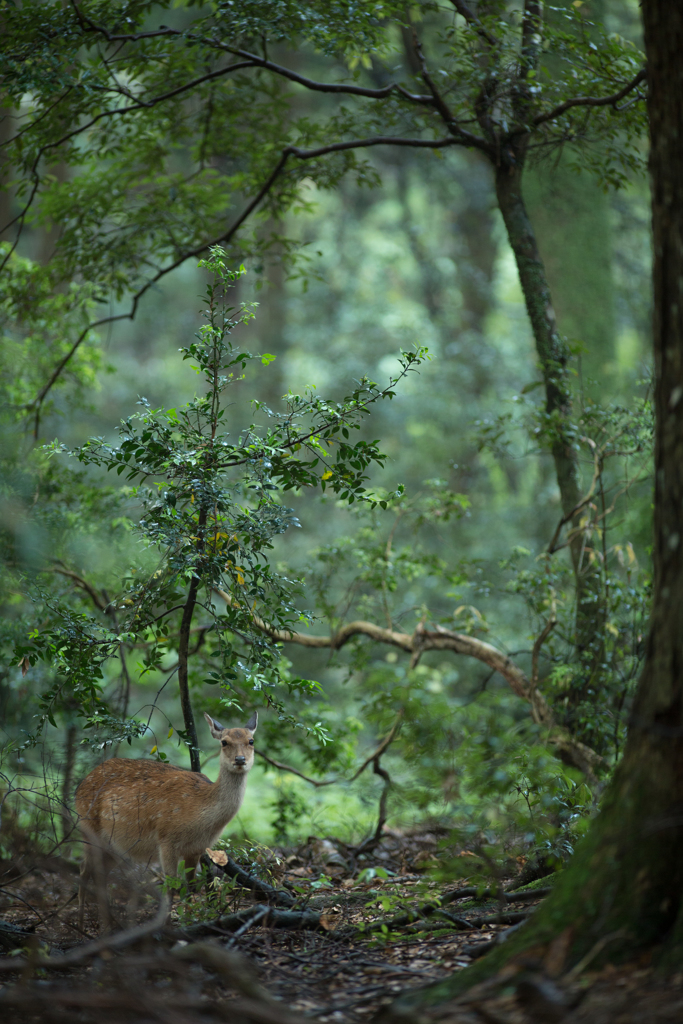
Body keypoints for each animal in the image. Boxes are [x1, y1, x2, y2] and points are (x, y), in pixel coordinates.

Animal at [74, 708, 255, 933]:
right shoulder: (167, 839)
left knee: (99, 873)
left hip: (116, 844)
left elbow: (191, 885)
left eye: (251, 741)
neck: (201, 814)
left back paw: (105, 924)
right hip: (88, 828)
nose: (240, 759)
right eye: (224, 742)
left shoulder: (197, 848)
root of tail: (79, 787)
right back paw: (83, 924)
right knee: (85, 870)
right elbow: (171, 884)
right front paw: (167, 926)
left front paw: (190, 921)